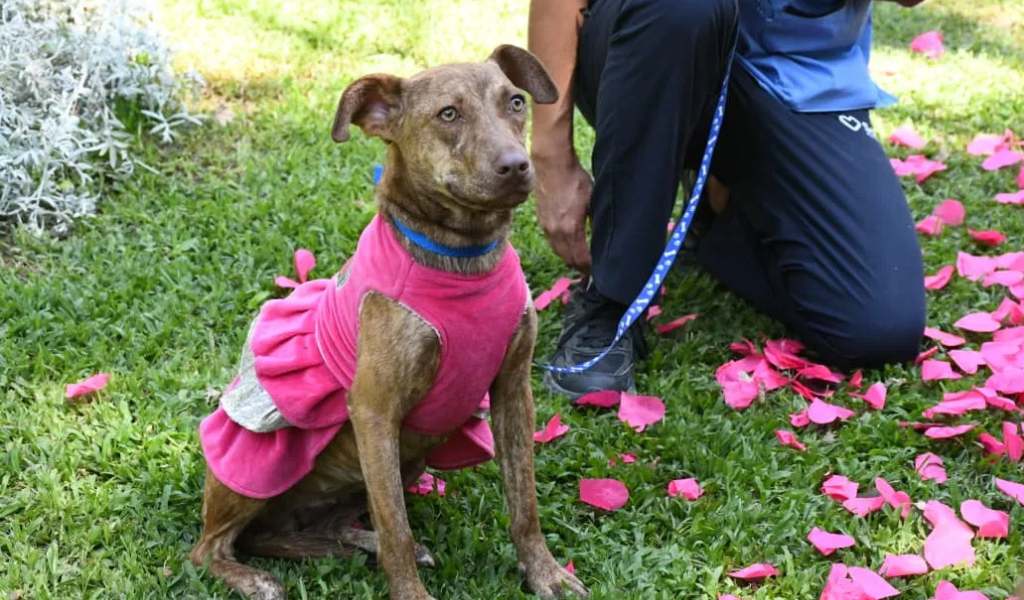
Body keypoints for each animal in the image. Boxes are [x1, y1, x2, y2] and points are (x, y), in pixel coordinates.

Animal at [189, 45, 589, 600]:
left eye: (515, 102)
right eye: (448, 114)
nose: (516, 165)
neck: (462, 257)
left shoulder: (513, 392)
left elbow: (524, 503)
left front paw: (545, 573)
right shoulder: (376, 411)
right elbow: (396, 526)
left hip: (401, 460)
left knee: (314, 529)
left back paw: (353, 543)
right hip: (253, 469)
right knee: (213, 547)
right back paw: (254, 577)